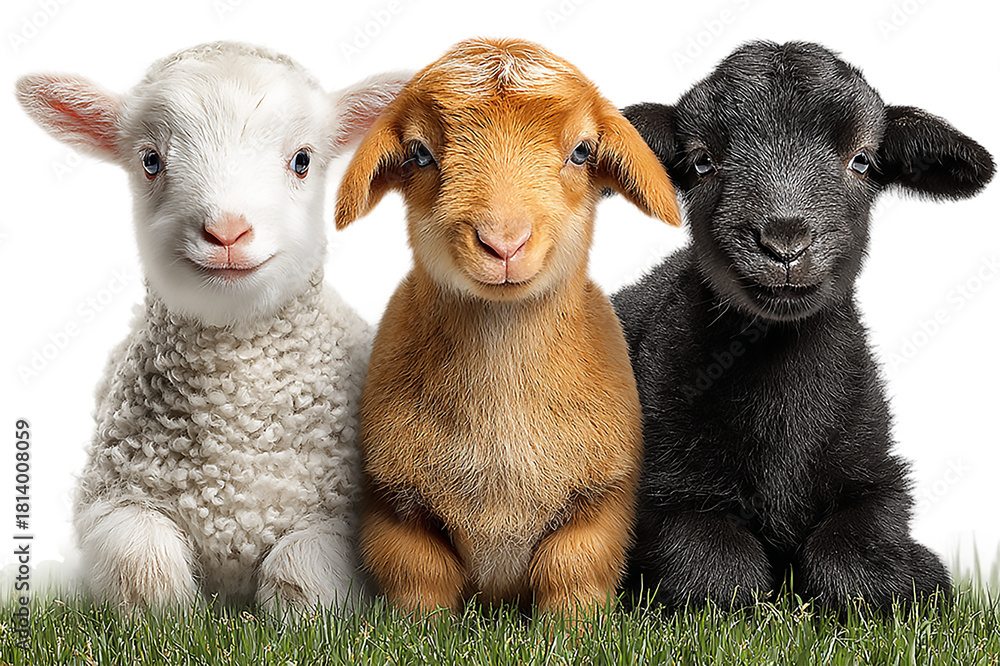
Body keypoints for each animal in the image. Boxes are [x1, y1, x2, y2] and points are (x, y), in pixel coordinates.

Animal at [15, 41, 411, 611]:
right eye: (151, 161)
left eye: (302, 160)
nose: (227, 231)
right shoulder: (111, 498)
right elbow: (142, 563)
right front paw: (170, 615)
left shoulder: (340, 517)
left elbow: (302, 575)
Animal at [333, 37, 681, 615]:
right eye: (420, 153)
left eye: (582, 152)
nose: (504, 243)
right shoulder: (392, 507)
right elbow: (419, 580)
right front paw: (419, 630)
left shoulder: (603, 502)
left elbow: (570, 571)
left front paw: (572, 630)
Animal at [613, 40, 995, 613]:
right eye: (702, 162)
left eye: (862, 159)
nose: (785, 243)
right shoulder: (660, 492)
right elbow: (719, 572)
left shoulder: (878, 481)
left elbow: (853, 560)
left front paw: (915, 577)